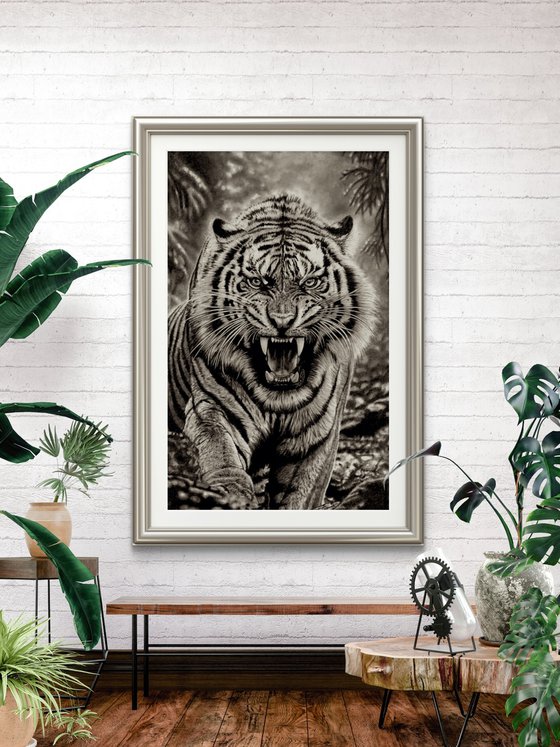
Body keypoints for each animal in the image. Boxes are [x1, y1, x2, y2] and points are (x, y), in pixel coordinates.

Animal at [168, 194, 377, 510]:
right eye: (257, 282)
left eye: (310, 282)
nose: (282, 321)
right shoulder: (213, 406)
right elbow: (221, 453)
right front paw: (230, 495)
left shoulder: (317, 437)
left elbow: (299, 495)